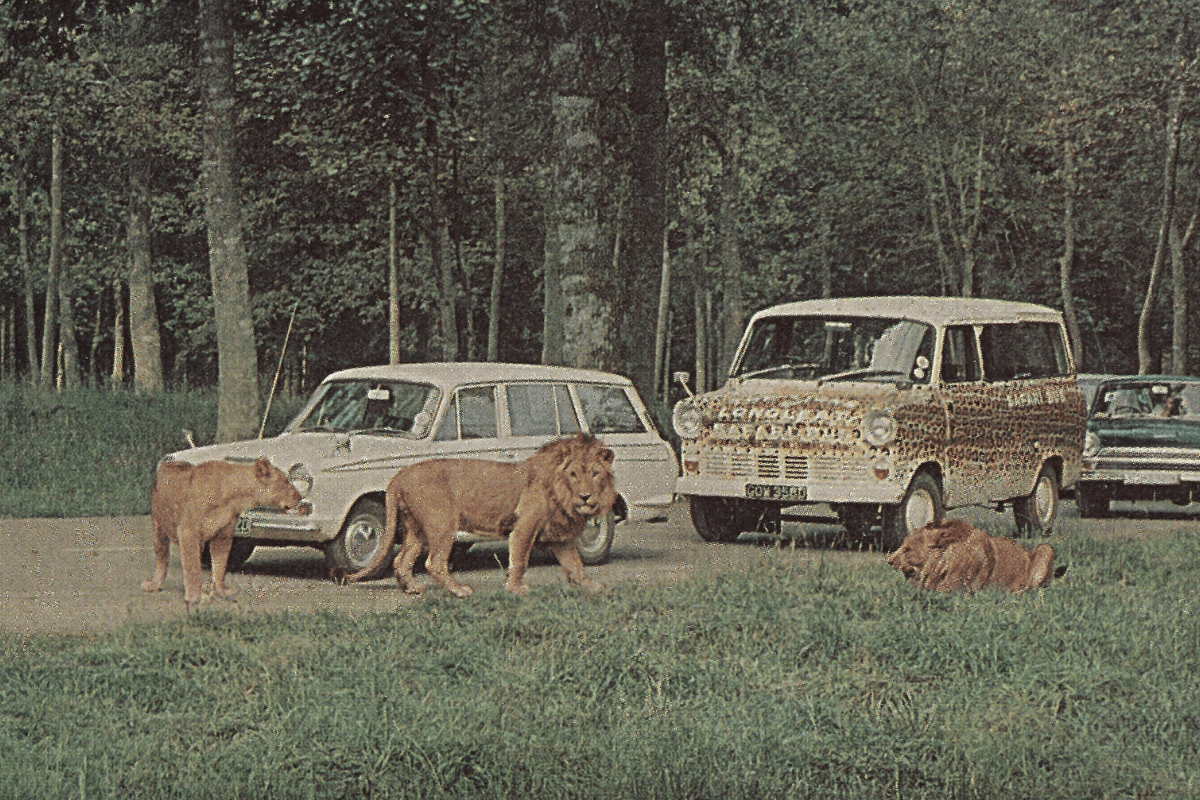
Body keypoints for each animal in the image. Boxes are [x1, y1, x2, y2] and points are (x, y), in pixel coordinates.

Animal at [141, 458, 303, 609]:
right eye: (285, 482)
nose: (300, 497)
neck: (236, 496)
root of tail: (168, 463)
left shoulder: (223, 537)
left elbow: (219, 567)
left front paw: (222, 592)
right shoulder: (188, 532)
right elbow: (192, 568)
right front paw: (192, 597)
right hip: (159, 529)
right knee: (162, 560)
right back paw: (155, 584)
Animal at [344, 433, 617, 597]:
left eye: (595, 473)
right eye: (573, 474)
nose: (585, 497)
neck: (561, 493)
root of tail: (398, 477)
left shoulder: (560, 537)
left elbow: (575, 565)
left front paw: (591, 585)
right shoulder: (524, 527)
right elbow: (519, 561)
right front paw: (516, 588)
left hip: (417, 530)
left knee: (402, 560)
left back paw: (412, 589)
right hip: (442, 523)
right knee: (434, 562)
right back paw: (460, 591)